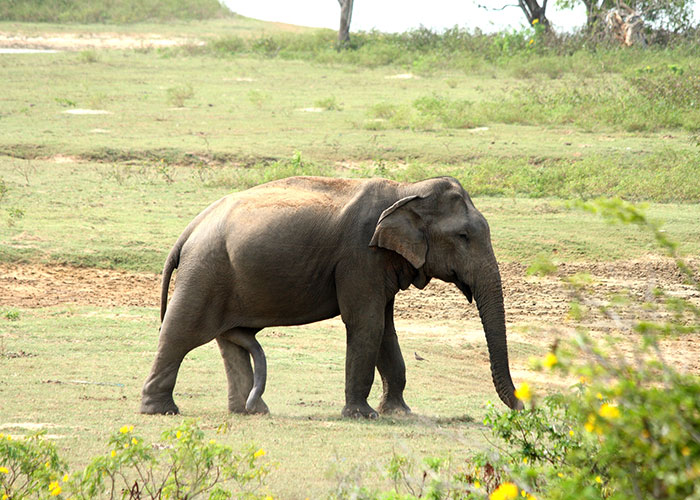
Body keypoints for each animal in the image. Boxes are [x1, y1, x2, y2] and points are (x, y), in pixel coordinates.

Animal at [139, 176, 523, 418]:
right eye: (463, 237)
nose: (523, 407)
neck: (407, 190)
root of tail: (190, 227)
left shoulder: (379, 263)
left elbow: (385, 328)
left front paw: (399, 412)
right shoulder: (360, 256)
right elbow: (366, 323)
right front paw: (362, 416)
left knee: (230, 341)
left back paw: (251, 411)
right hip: (204, 271)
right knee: (180, 332)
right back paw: (161, 411)